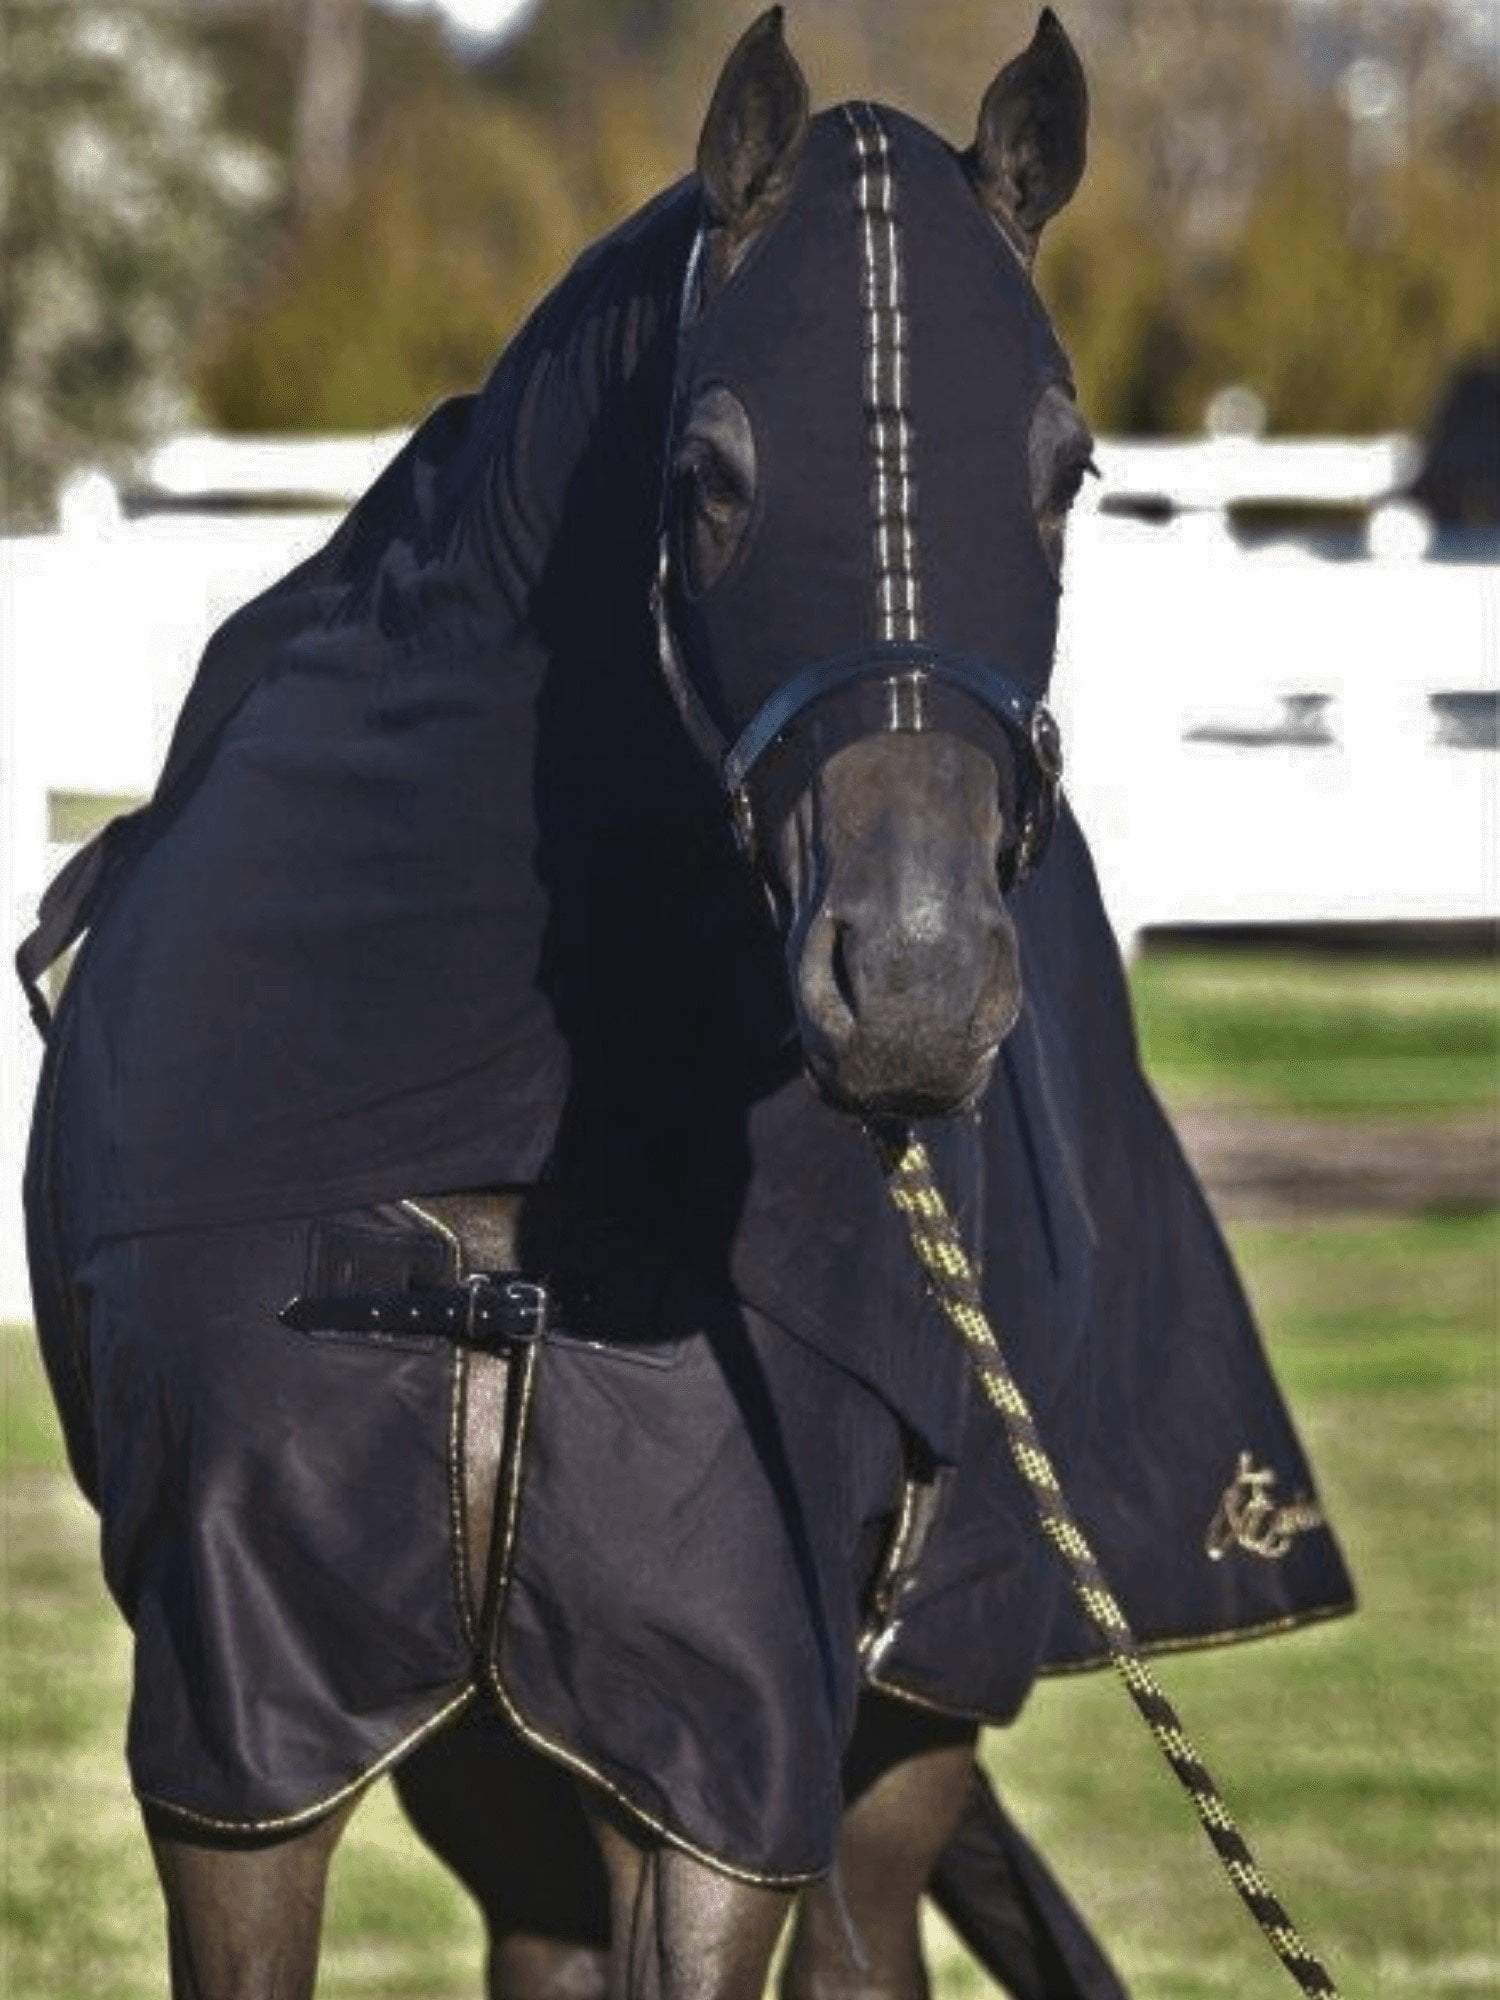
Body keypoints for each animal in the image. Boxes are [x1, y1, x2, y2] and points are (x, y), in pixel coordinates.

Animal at [20, 7, 1360, 1992]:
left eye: (1068, 471)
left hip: (902, 1728)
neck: (510, 1214)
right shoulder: (247, 1723)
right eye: (711, 475)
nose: (912, 988)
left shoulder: (724, 1747)